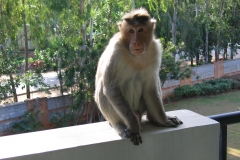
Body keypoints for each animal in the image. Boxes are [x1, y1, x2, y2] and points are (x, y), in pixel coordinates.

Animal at [94, 8, 183, 146]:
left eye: (140, 30)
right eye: (131, 31)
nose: (135, 42)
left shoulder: (155, 49)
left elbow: (151, 86)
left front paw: (163, 120)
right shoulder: (115, 52)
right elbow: (111, 88)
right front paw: (134, 127)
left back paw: (153, 118)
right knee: (103, 87)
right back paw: (120, 126)